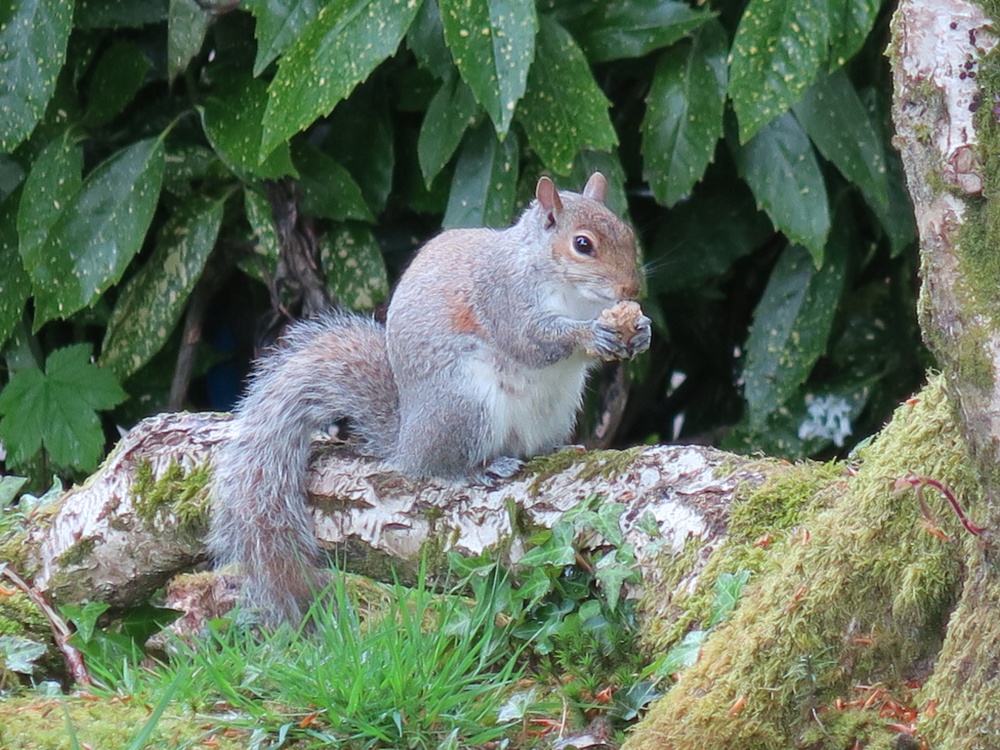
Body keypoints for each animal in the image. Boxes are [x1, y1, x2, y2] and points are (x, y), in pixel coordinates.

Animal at [207, 172, 652, 625]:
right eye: (583, 244)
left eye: (628, 232)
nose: (632, 287)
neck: (570, 290)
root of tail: (407, 440)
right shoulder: (504, 299)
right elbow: (532, 341)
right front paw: (591, 333)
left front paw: (640, 332)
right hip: (465, 406)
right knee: (439, 467)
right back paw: (481, 468)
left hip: (556, 409)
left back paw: (559, 448)